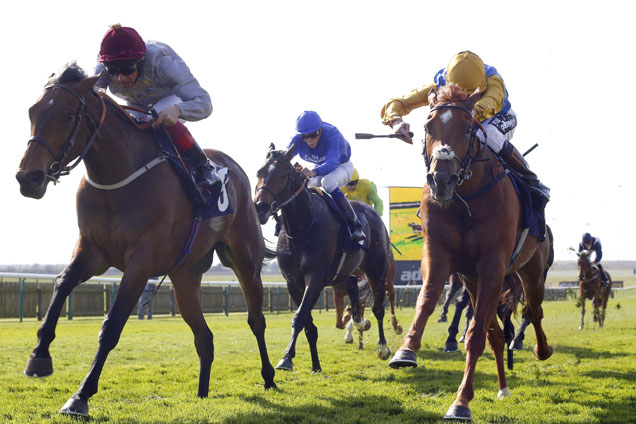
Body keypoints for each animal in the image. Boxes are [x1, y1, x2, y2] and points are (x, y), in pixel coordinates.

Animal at [13, 64, 274, 416]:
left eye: (68, 116)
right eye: (32, 111)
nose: (28, 178)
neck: (117, 176)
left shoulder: (141, 261)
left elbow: (112, 326)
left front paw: (80, 395)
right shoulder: (92, 251)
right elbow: (62, 283)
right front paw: (39, 356)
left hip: (244, 261)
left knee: (256, 320)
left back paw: (269, 376)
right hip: (185, 275)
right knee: (204, 338)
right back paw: (202, 393)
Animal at [253, 145, 392, 372]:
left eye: (283, 175)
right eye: (259, 173)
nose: (259, 208)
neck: (302, 228)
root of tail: (372, 213)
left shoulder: (316, 277)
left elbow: (300, 316)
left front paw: (286, 358)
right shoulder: (293, 282)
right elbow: (308, 324)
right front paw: (315, 365)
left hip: (376, 269)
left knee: (379, 307)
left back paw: (382, 347)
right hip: (339, 274)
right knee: (352, 284)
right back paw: (360, 322)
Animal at [386, 83, 556, 420]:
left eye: (467, 129)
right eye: (427, 127)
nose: (441, 179)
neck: (465, 197)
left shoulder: (493, 266)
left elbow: (476, 336)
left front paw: (461, 402)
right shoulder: (439, 254)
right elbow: (428, 298)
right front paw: (406, 350)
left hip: (531, 270)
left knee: (533, 310)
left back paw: (541, 350)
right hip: (473, 280)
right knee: (497, 334)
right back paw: (503, 388)